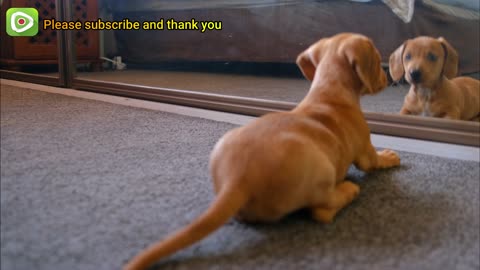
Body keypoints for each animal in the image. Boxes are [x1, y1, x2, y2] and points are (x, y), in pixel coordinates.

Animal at [124, 33, 402, 270]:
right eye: (378, 60)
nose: (389, 80)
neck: (328, 91)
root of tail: (238, 180)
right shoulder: (365, 150)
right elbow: (374, 161)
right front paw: (389, 156)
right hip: (322, 170)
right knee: (321, 211)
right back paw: (348, 191)